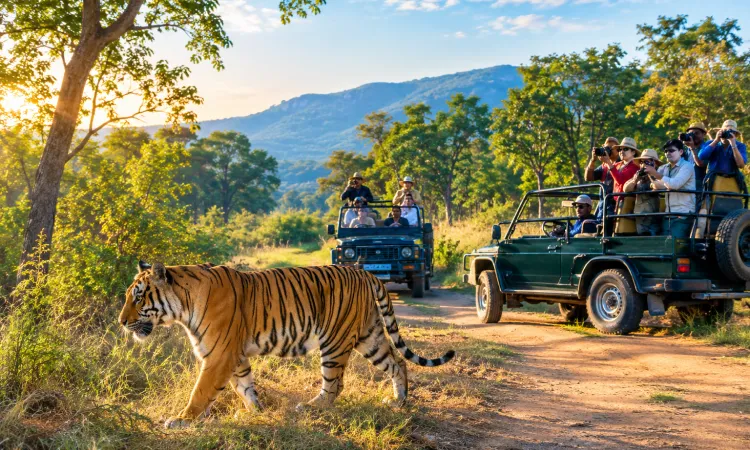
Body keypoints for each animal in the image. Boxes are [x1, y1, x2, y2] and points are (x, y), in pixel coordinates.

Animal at [119, 262, 455, 429]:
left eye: (139, 296)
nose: (121, 322)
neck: (183, 305)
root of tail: (366, 272)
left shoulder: (219, 355)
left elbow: (200, 392)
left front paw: (181, 420)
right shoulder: (234, 355)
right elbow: (245, 387)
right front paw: (255, 413)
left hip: (335, 341)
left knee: (335, 384)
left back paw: (311, 407)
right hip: (369, 336)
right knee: (397, 362)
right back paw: (398, 401)